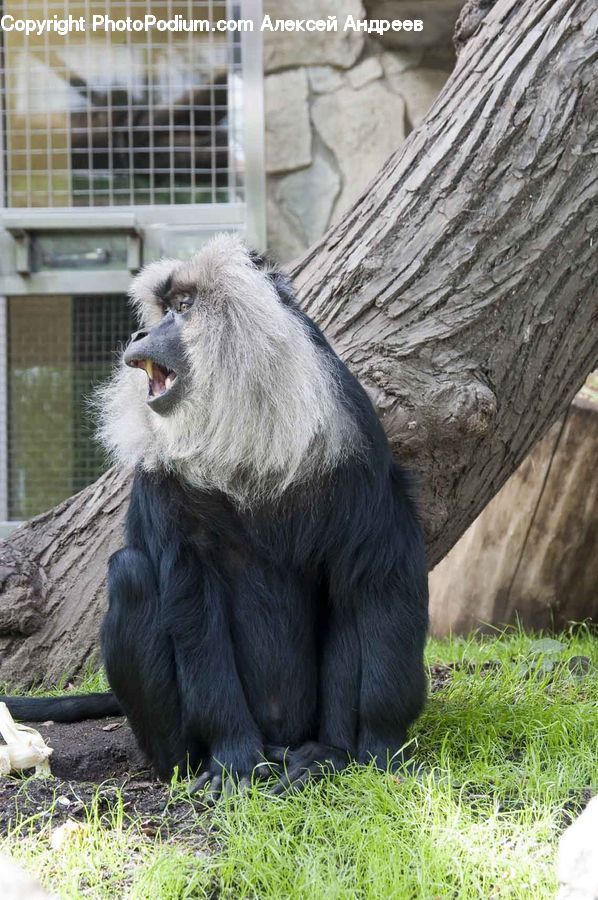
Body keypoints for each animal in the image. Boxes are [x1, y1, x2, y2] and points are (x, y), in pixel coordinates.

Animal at [3, 234, 429, 797]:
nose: (140, 333)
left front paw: (377, 748)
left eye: (183, 308)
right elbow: (189, 596)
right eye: (163, 308)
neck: (240, 433)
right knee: (131, 573)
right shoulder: (164, 481)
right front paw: (234, 761)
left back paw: (326, 753)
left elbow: (378, 575)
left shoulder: (352, 436)